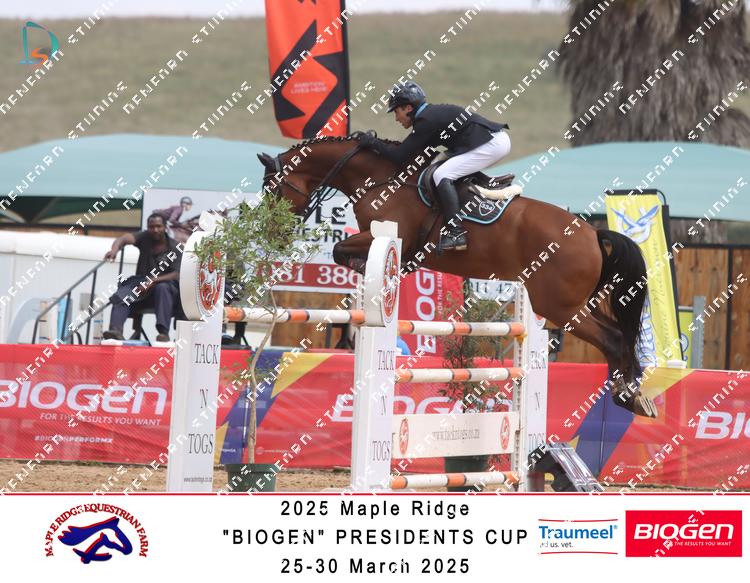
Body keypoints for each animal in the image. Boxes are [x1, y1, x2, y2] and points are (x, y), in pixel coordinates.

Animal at [257, 135, 657, 418]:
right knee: (619, 333)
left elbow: (344, 250)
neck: (381, 179)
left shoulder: (388, 234)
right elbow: (343, 252)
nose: (275, 229)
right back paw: (635, 395)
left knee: (613, 338)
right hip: (577, 301)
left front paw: (379, 278)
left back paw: (627, 397)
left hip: (559, 305)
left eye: (272, 186)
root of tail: (592, 233)